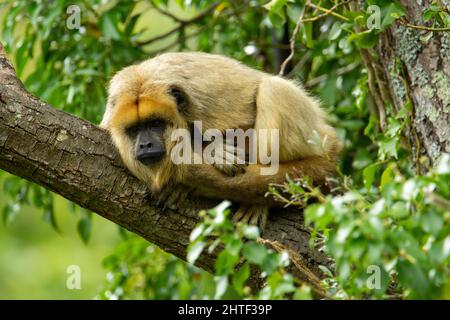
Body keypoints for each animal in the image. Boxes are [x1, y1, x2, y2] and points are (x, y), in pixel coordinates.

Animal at [101, 52, 342, 228]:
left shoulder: (206, 104)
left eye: (155, 123)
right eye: (134, 129)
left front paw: (212, 154)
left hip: (321, 140)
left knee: (273, 89)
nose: (145, 144)